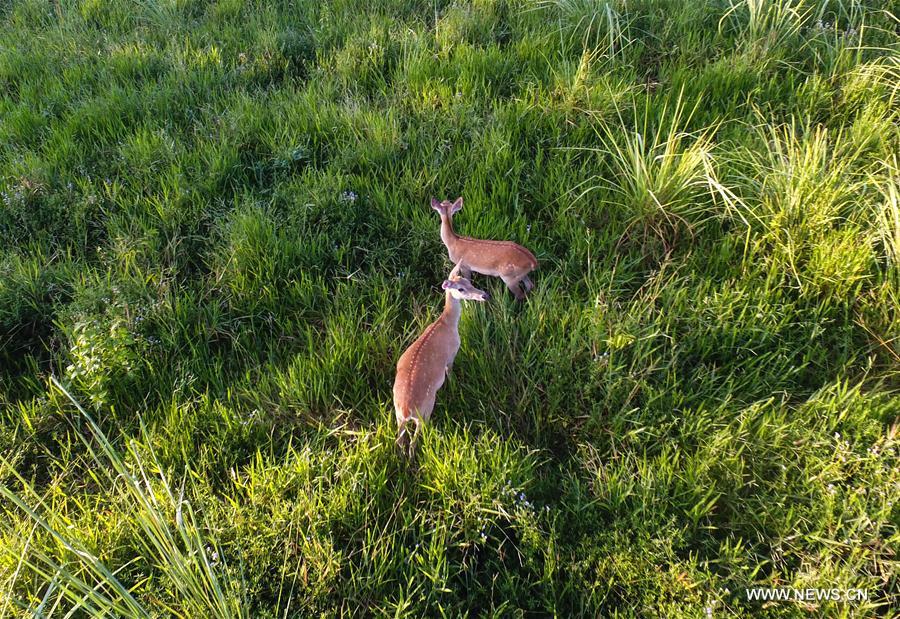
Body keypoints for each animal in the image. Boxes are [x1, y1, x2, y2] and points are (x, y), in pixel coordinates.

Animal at [396, 264, 492, 458]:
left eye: (469, 281)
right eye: (461, 289)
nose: (484, 295)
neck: (447, 323)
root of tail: (406, 409)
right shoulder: (451, 354)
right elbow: (450, 372)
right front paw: (456, 386)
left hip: (397, 415)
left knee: (401, 439)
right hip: (425, 409)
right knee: (414, 440)